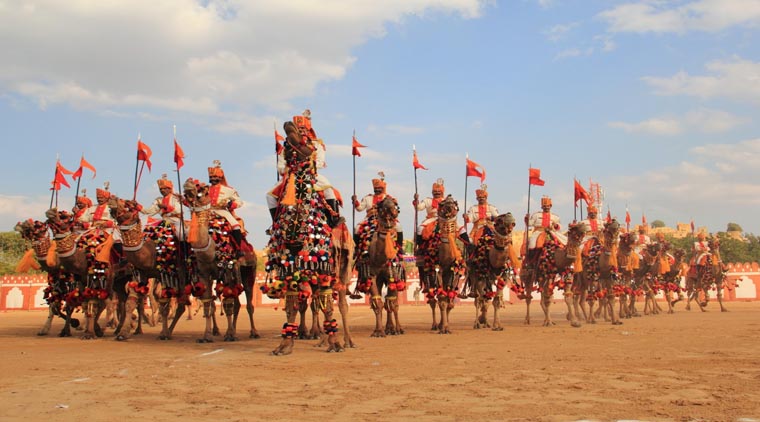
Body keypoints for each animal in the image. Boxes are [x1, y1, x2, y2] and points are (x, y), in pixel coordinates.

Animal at [416, 196, 464, 334]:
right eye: (442, 204)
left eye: (455, 204)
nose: (449, 204)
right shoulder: (437, 269)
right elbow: (442, 299)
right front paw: (444, 328)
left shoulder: (454, 271)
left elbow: (449, 300)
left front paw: (447, 326)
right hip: (426, 273)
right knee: (432, 299)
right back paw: (435, 325)